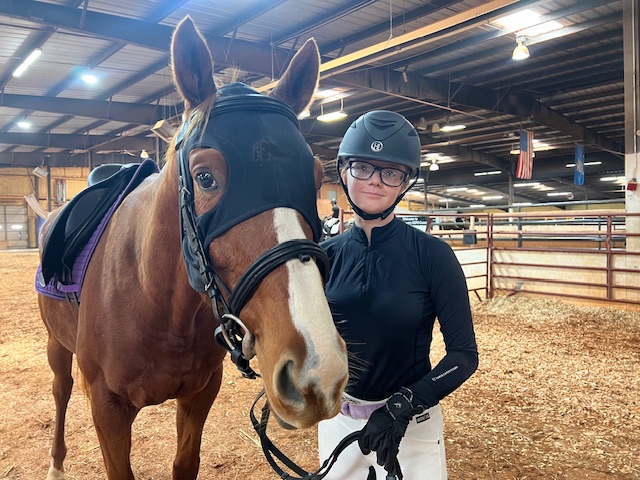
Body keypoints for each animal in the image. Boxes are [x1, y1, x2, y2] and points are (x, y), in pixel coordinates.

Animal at [37, 16, 348, 480]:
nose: (317, 371)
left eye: (313, 178)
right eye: (205, 178)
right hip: (57, 344)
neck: (157, 302)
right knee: (61, 389)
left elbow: (186, 462)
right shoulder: (107, 409)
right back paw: (56, 463)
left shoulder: (200, 395)